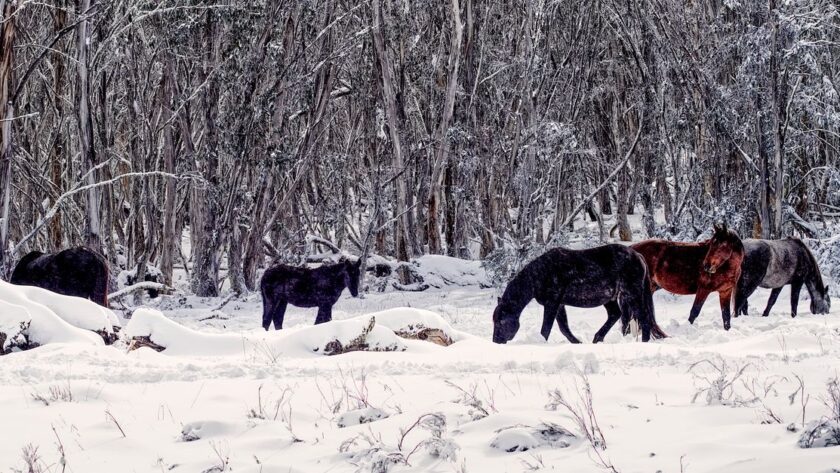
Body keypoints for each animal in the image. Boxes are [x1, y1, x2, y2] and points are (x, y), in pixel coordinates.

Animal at [491, 244, 666, 344]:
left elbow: (546, 328)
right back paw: (597, 338)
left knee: (643, 318)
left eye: (501, 321)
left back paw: (643, 342)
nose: (496, 341)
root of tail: (638, 256)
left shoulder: (552, 303)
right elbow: (564, 328)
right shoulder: (559, 305)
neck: (539, 275)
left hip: (632, 294)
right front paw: (577, 342)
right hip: (610, 298)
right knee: (615, 315)